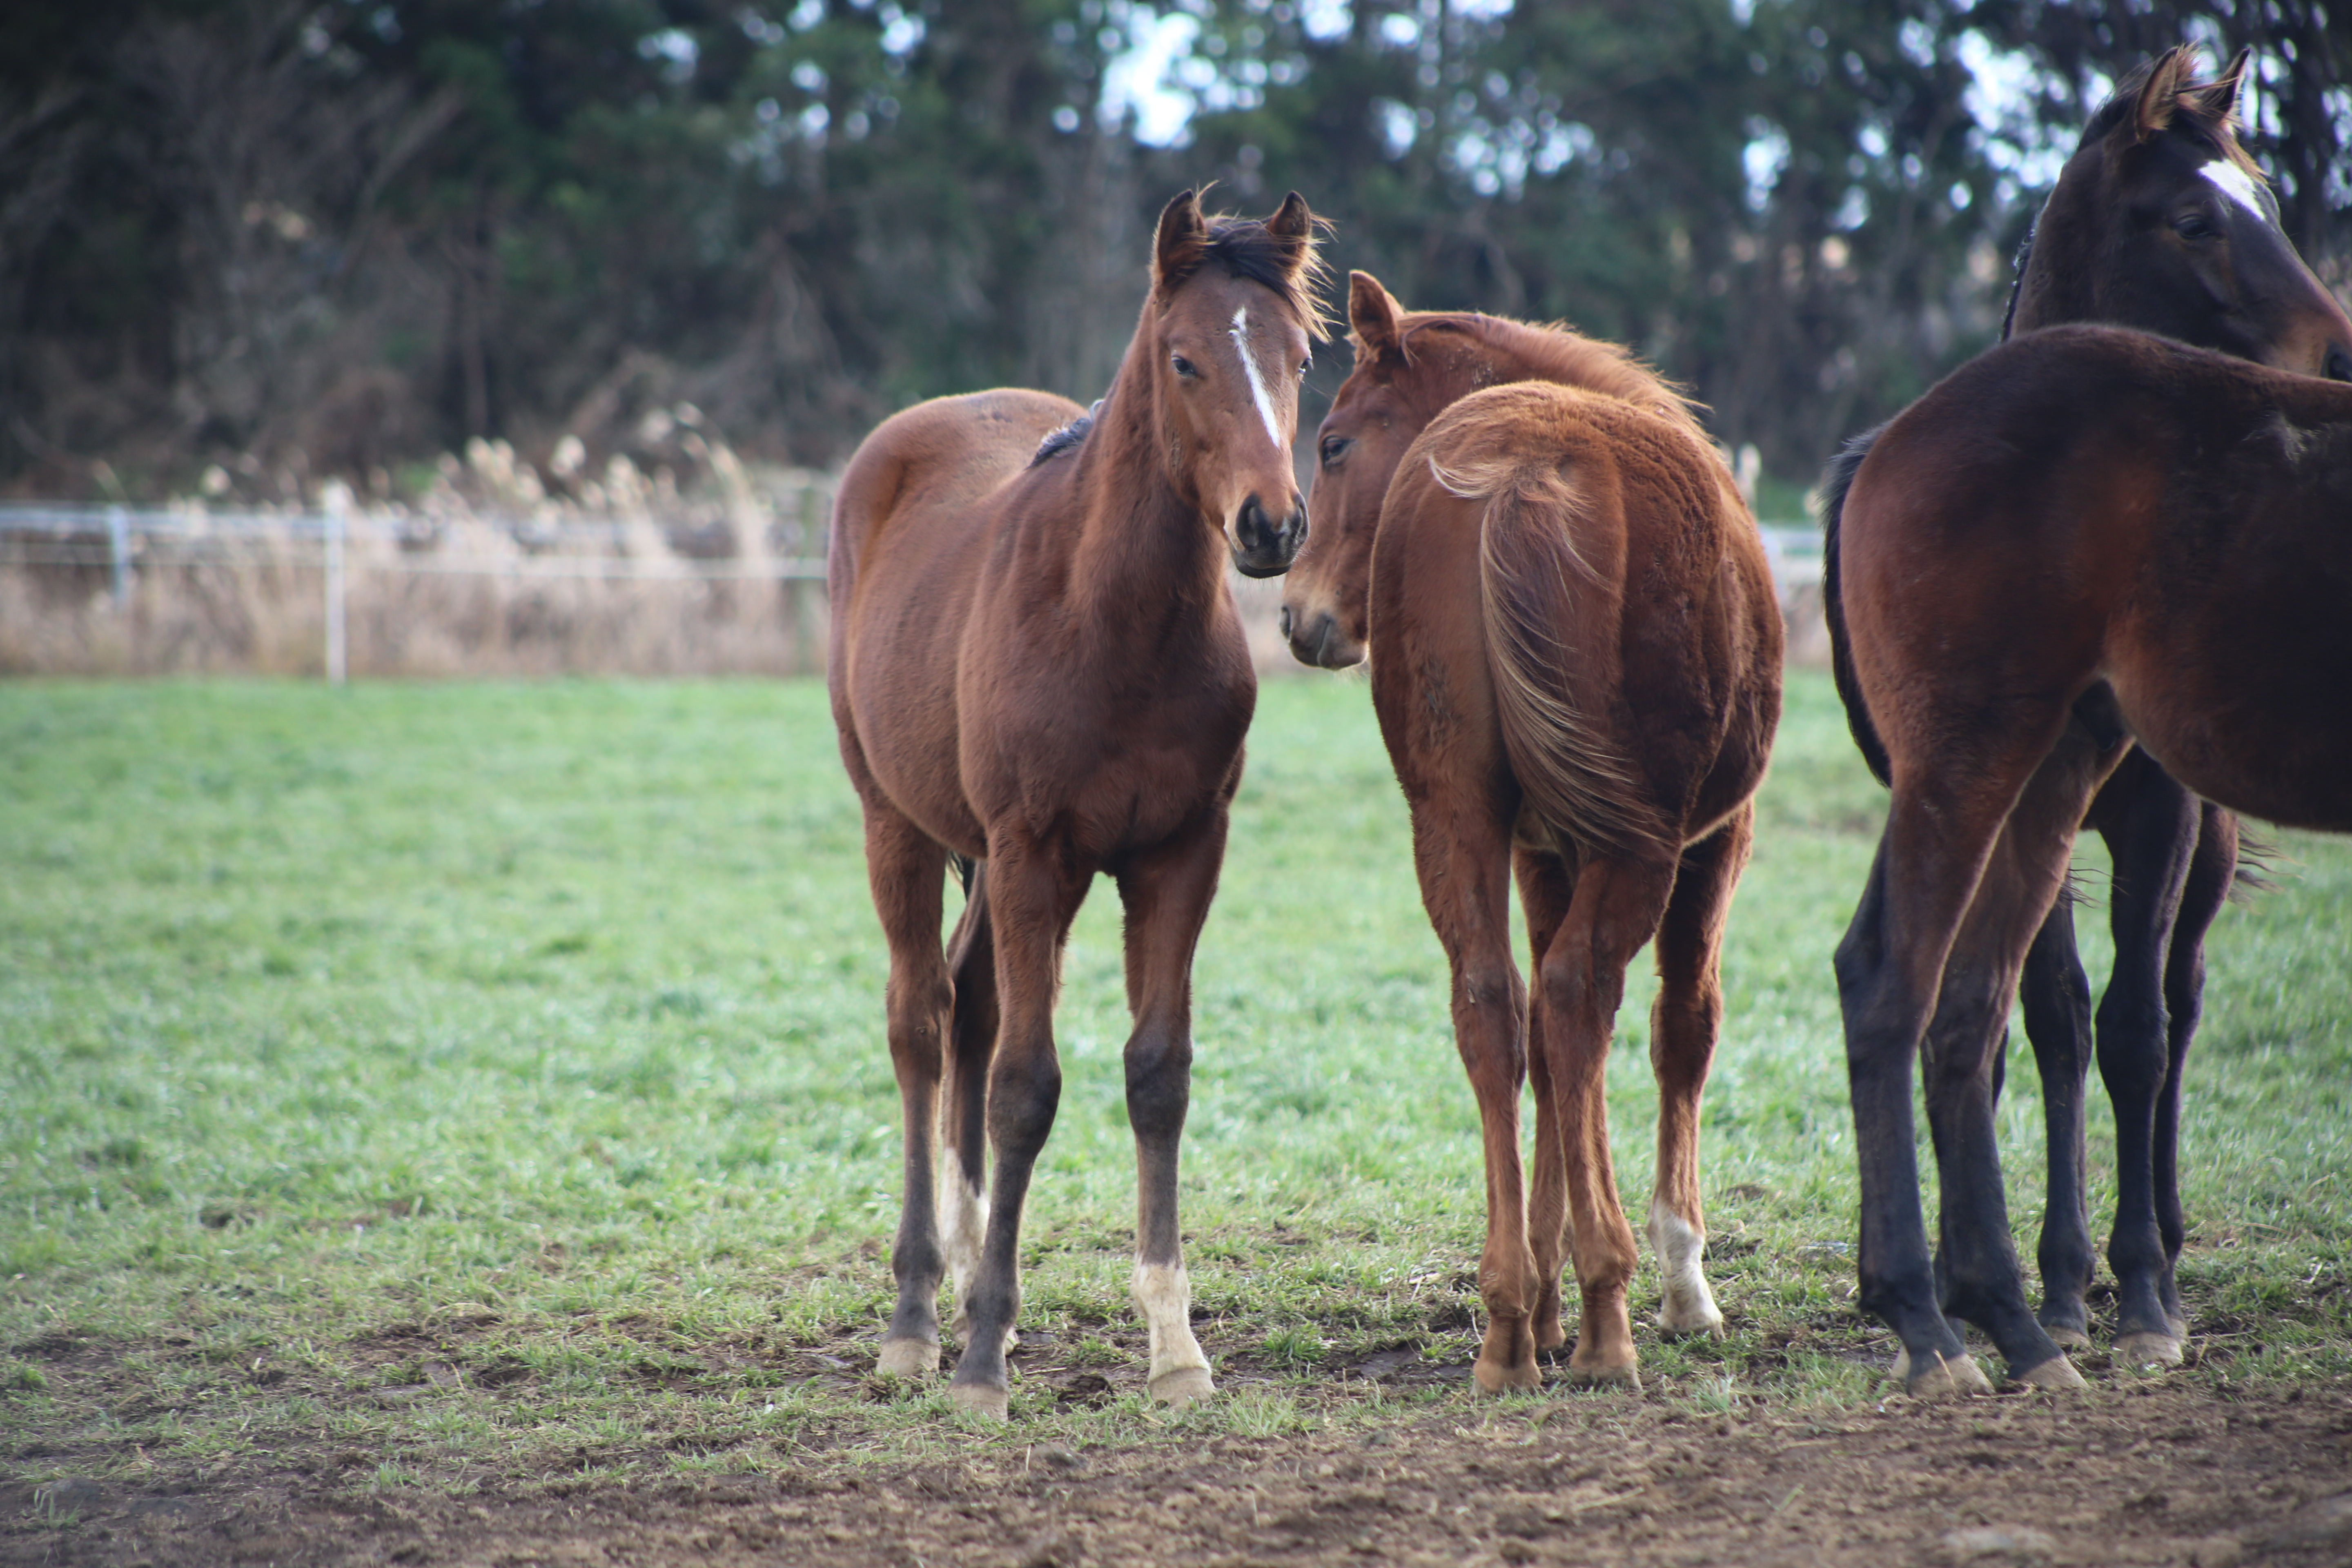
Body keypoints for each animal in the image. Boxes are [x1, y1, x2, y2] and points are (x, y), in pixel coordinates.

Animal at [828, 190, 1326, 1420]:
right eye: (1185, 359)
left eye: (1300, 357)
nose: (1271, 526)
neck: (1116, 621)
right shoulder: (1032, 854)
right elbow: (1024, 1087)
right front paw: (979, 1362)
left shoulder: (1181, 854)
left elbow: (1157, 1075)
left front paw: (1174, 1345)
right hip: (898, 826)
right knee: (921, 1022)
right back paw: (919, 1311)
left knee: (966, 1002)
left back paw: (970, 1280)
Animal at [1289, 276, 1778, 1392]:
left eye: (1332, 443)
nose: (1297, 619)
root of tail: (1517, 472)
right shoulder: (1712, 842)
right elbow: (1682, 1027)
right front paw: (1682, 1284)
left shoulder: (1535, 849)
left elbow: (1549, 1070)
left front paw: (1544, 1302)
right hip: (1641, 847)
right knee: (1573, 996)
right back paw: (1607, 1316)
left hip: (1454, 818)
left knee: (1496, 1006)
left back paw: (1511, 1325)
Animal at [1815, 43, 2352, 1382]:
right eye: (2194, 219)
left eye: (2274, 201)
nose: (2337, 361)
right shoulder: (2035, 803)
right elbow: (2052, 1019)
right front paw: (2053, 1283)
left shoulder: (2158, 818)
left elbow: (2134, 1029)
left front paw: (2135, 1285)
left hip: (2171, 840)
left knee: (2180, 998)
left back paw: (2149, 1239)